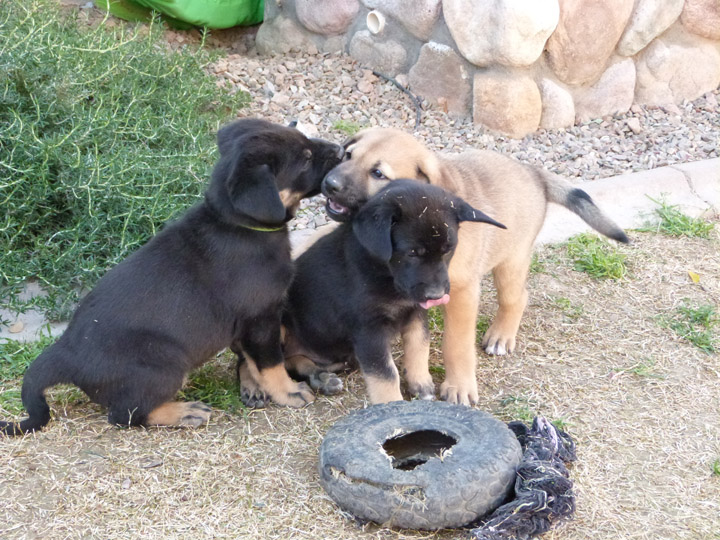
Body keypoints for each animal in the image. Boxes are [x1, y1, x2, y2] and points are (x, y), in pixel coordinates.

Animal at [0, 117, 344, 434]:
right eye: (306, 158)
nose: (341, 150)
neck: (238, 223)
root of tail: (66, 353)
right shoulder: (261, 318)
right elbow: (270, 363)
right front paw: (289, 392)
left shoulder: (250, 324)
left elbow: (252, 361)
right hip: (166, 361)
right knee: (124, 415)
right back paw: (184, 412)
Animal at [282, 179, 506, 402]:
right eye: (412, 253)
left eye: (448, 250)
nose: (436, 296)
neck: (386, 276)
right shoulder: (369, 329)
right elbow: (386, 375)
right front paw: (393, 404)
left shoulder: (416, 312)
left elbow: (419, 346)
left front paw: (420, 382)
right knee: (286, 361)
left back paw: (323, 377)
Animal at [320, 127, 624, 404]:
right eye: (348, 155)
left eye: (378, 173)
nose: (329, 183)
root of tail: (533, 173)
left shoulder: (461, 292)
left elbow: (456, 344)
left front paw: (459, 387)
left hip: (511, 260)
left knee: (517, 297)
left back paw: (501, 336)